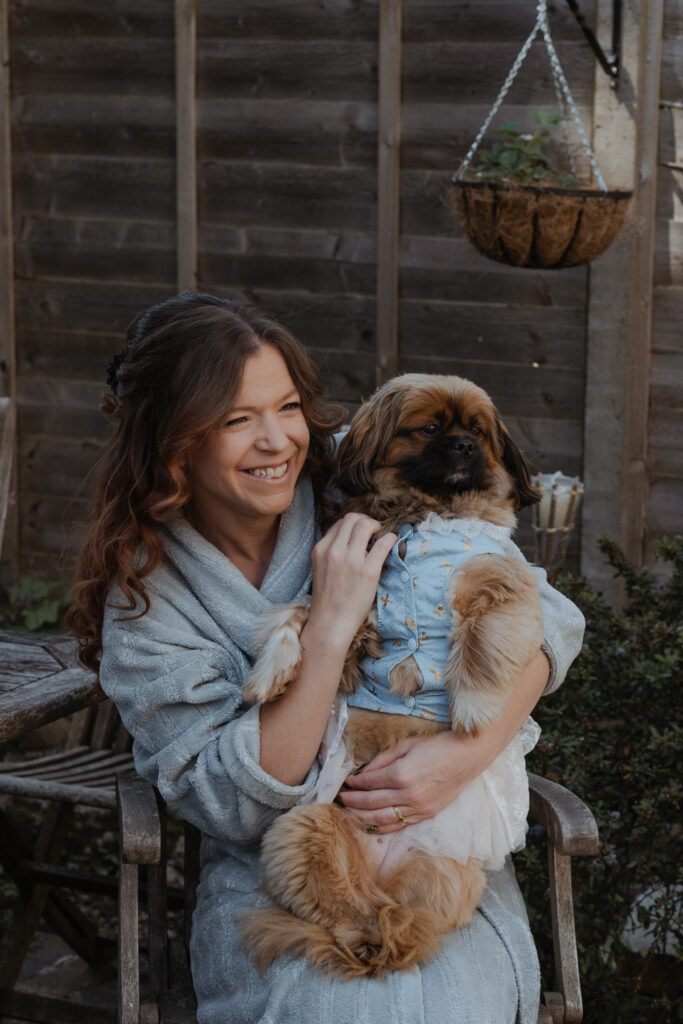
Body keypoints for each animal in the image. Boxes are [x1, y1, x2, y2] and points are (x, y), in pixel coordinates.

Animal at [240, 374, 544, 974]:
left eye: (477, 432)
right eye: (429, 429)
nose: (463, 446)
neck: (424, 515)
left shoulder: (501, 576)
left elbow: (482, 629)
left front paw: (473, 708)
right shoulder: (343, 598)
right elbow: (295, 618)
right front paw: (270, 674)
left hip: (436, 873)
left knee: (401, 920)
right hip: (303, 828)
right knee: (355, 911)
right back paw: (362, 938)